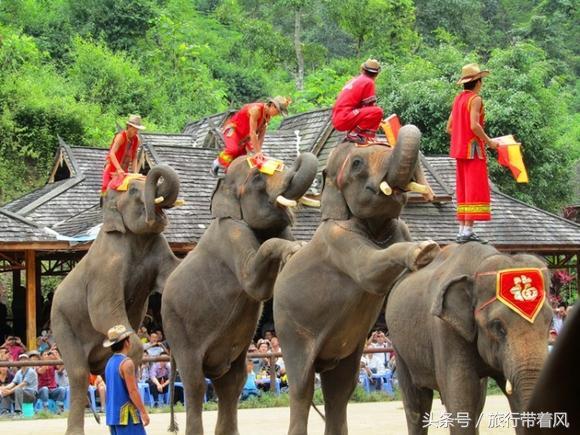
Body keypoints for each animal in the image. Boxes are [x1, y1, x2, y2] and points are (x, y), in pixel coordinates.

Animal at [51, 166, 180, 435]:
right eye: (132, 191)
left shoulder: (160, 247)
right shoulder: (106, 267)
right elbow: (103, 313)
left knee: (103, 370)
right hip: (61, 323)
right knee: (79, 374)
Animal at [162, 152, 318, 434]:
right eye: (256, 178)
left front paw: (299, 249)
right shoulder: (231, 235)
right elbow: (255, 285)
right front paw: (295, 248)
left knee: (231, 383)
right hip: (178, 330)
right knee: (195, 383)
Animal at [274, 124, 440, 434]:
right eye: (357, 163)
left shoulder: (399, 227)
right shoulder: (338, 240)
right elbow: (369, 271)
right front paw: (425, 250)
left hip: (347, 352)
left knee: (340, 391)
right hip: (291, 331)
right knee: (301, 388)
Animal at [386, 244, 552, 434]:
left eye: (550, 322)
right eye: (498, 327)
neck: (479, 265)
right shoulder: (445, 332)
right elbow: (461, 398)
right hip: (399, 349)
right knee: (416, 405)